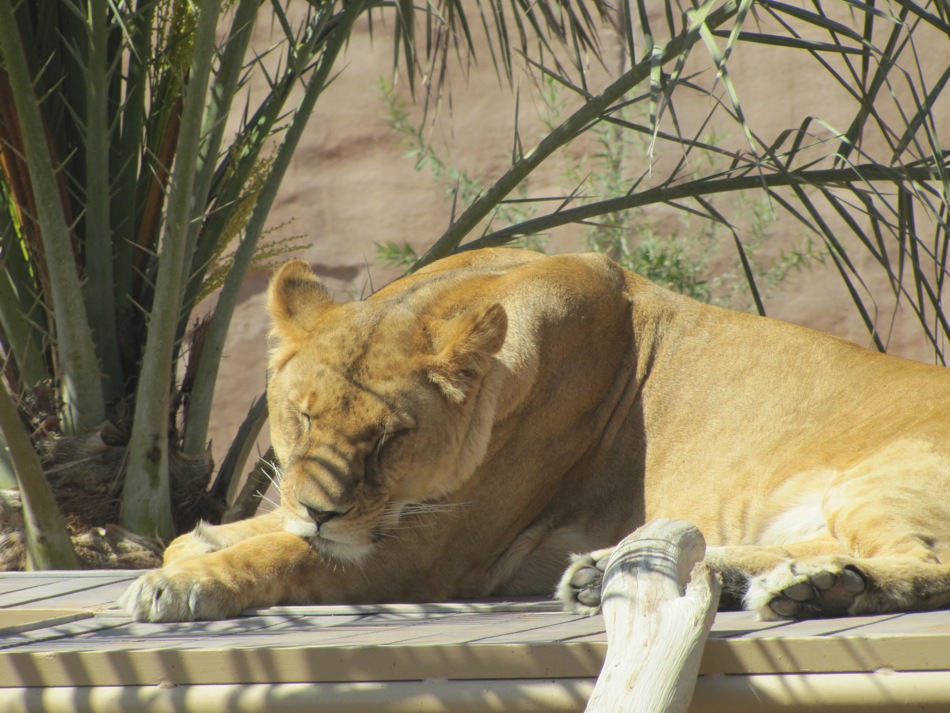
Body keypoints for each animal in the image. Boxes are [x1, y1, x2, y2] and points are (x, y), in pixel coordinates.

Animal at [121, 248, 950, 622]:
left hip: (881, 478)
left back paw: (824, 587)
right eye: (301, 416)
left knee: (923, 562)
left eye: (392, 439)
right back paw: (636, 569)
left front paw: (184, 582)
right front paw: (196, 547)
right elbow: (235, 532)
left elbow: (283, 555)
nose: (321, 510)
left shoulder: (430, 557)